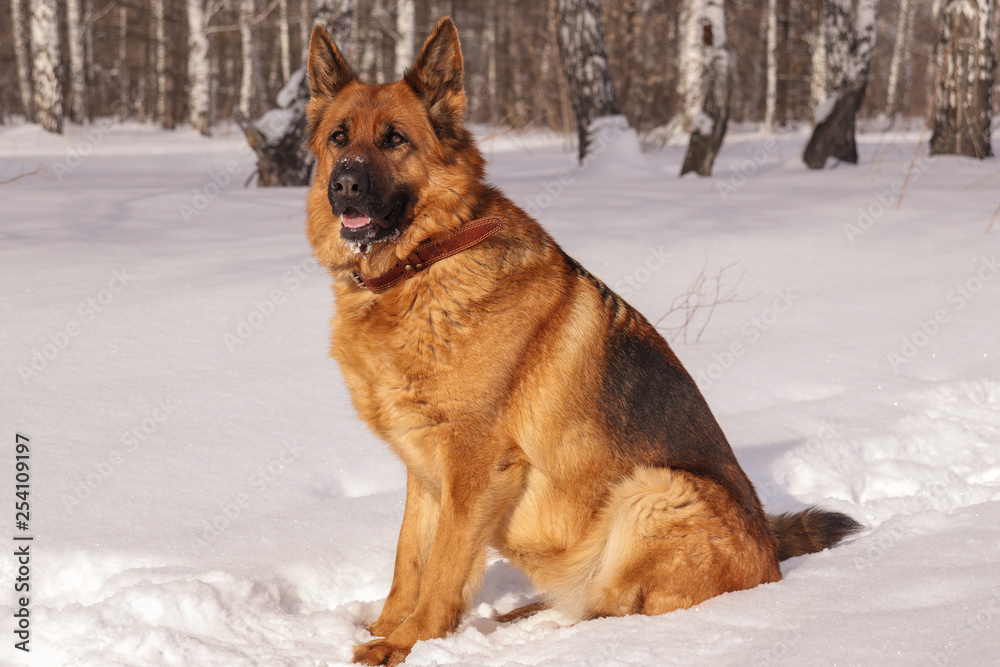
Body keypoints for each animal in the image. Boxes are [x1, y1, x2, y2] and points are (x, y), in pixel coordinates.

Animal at [304, 18, 860, 664]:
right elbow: (408, 560)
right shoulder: (425, 474)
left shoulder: (474, 467)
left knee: (615, 611)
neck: (424, 262)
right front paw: (387, 627)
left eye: (395, 139)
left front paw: (408, 643)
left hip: (655, 491)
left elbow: (441, 569)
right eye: (339, 137)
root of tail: (772, 556)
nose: (344, 184)